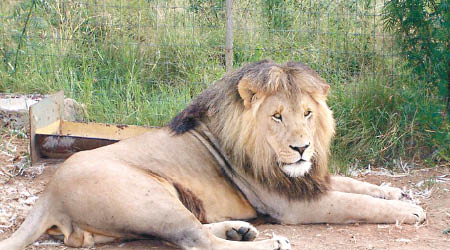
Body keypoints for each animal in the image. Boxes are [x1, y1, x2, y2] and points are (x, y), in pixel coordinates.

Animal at [0, 60, 426, 250]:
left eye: (307, 113)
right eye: (277, 116)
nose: (302, 147)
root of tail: (48, 192)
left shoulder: (306, 179)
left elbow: (355, 184)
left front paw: (396, 191)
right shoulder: (292, 205)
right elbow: (355, 203)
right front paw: (409, 211)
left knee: (197, 231)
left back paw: (240, 230)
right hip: (149, 198)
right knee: (197, 241)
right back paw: (269, 244)